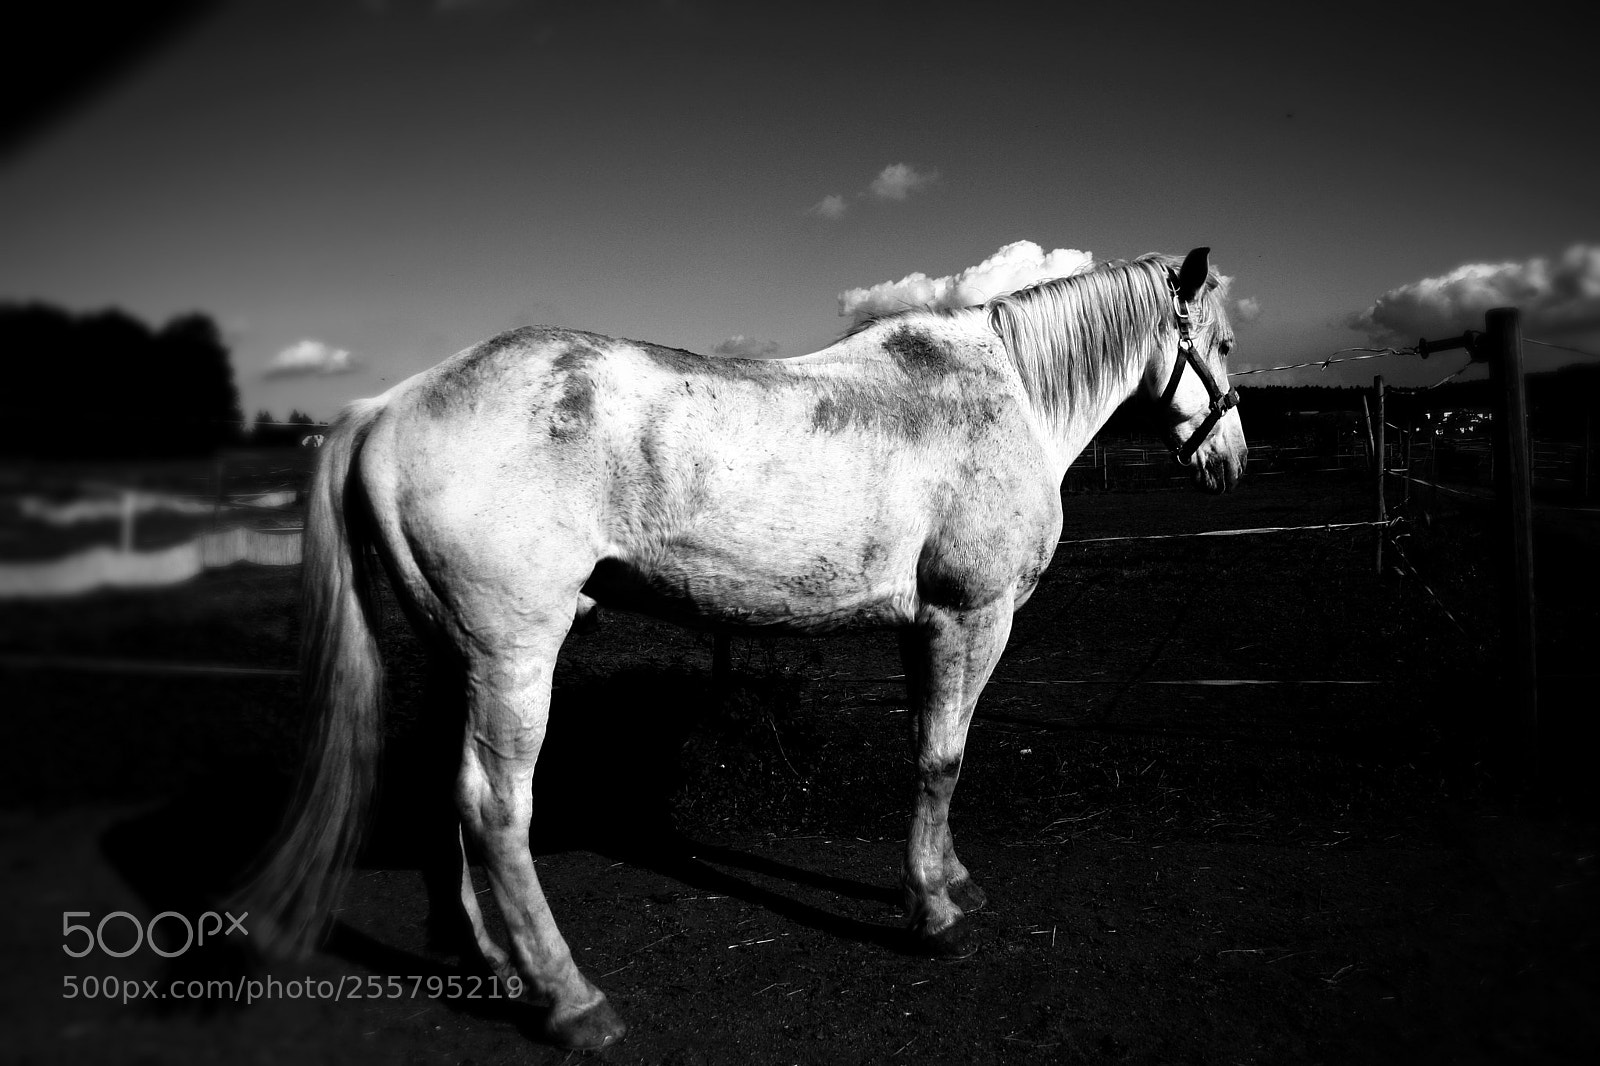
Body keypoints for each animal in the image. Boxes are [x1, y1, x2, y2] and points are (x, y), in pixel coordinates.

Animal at [237, 247, 1246, 1051]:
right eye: (1227, 346)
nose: (1231, 461)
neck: (1003, 397)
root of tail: (387, 406)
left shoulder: (926, 627)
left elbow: (929, 755)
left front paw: (952, 878)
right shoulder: (972, 616)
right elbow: (942, 759)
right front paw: (933, 911)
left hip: (456, 654)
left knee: (447, 795)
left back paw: (487, 960)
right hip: (512, 656)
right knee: (495, 809)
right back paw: (573, 1001)